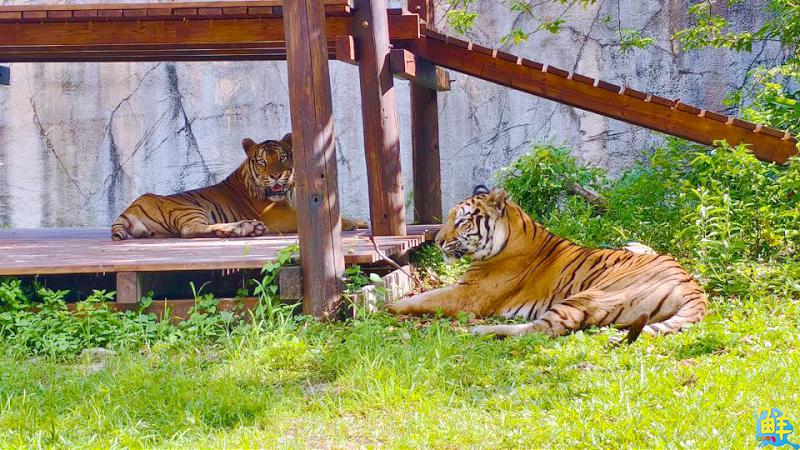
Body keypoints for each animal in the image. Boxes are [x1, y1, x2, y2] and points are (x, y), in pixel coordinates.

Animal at [111, 133, 366, 240]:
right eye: (262, 160)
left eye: (282, 156)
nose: (276, 175)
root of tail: (129, 209)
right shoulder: (281, 217)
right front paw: (351, 224)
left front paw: (361, 222)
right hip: (189, 208)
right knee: (190, 230)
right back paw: (244, 228)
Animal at [388, 187, 707, 342]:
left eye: (462, 220)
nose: (438, 241)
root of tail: (694, 288)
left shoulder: (468, 294)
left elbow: (422, 298)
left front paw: (386, 306)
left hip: (590, 295)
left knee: (547, 328)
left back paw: (481, 332)